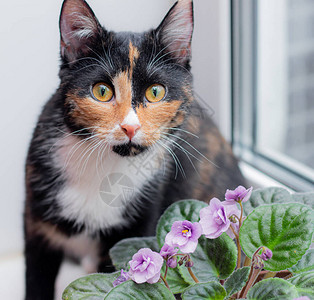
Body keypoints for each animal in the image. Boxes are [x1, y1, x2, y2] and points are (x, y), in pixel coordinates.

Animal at [24, 0, 245, 298]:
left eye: (156, 92)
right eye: (102, 91)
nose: (130, 127)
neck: (103, 167)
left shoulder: (142, 219)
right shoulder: (36, 225)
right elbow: (36, 280)